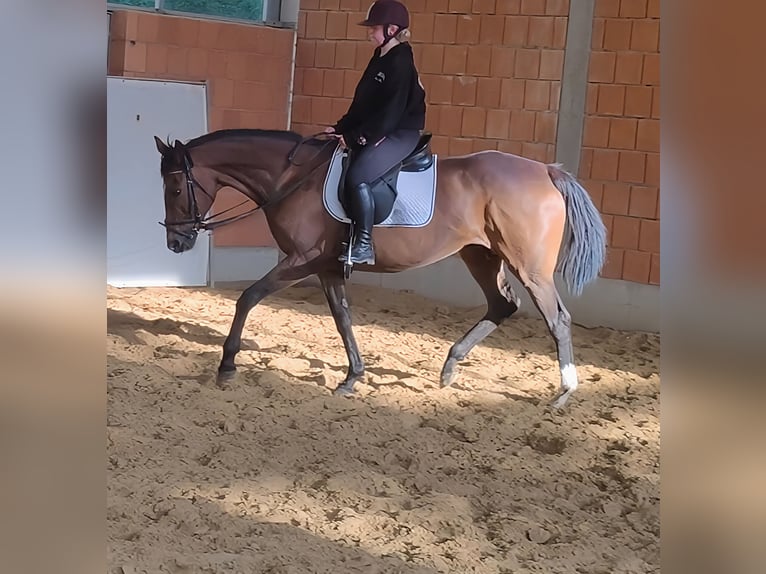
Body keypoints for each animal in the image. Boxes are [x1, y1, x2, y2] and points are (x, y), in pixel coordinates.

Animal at [153, 128, 606, 408]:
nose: (176, 243)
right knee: (502, 305)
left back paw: (563, 392)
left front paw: (227, 366)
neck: (294, 179)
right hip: (481, 255)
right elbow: (342, 319)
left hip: (529, 267)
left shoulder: (300, 260)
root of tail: (546, 171)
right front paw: (352, 377)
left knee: (557, 319)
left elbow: (247, 298)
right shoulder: (327, 267)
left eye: (174, 188)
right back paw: (449, 368)